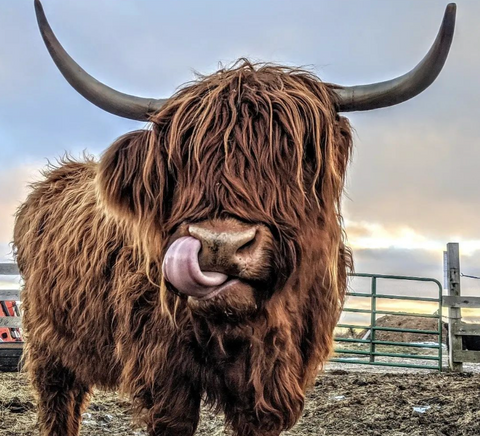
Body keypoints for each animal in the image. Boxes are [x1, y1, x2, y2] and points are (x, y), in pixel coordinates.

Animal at [10, 1, 454, 434]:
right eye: (180, 162)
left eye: (297, 156)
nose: (220, 244)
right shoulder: (165, 376)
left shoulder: (273, 383)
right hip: (48, 345)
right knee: (59, 405)